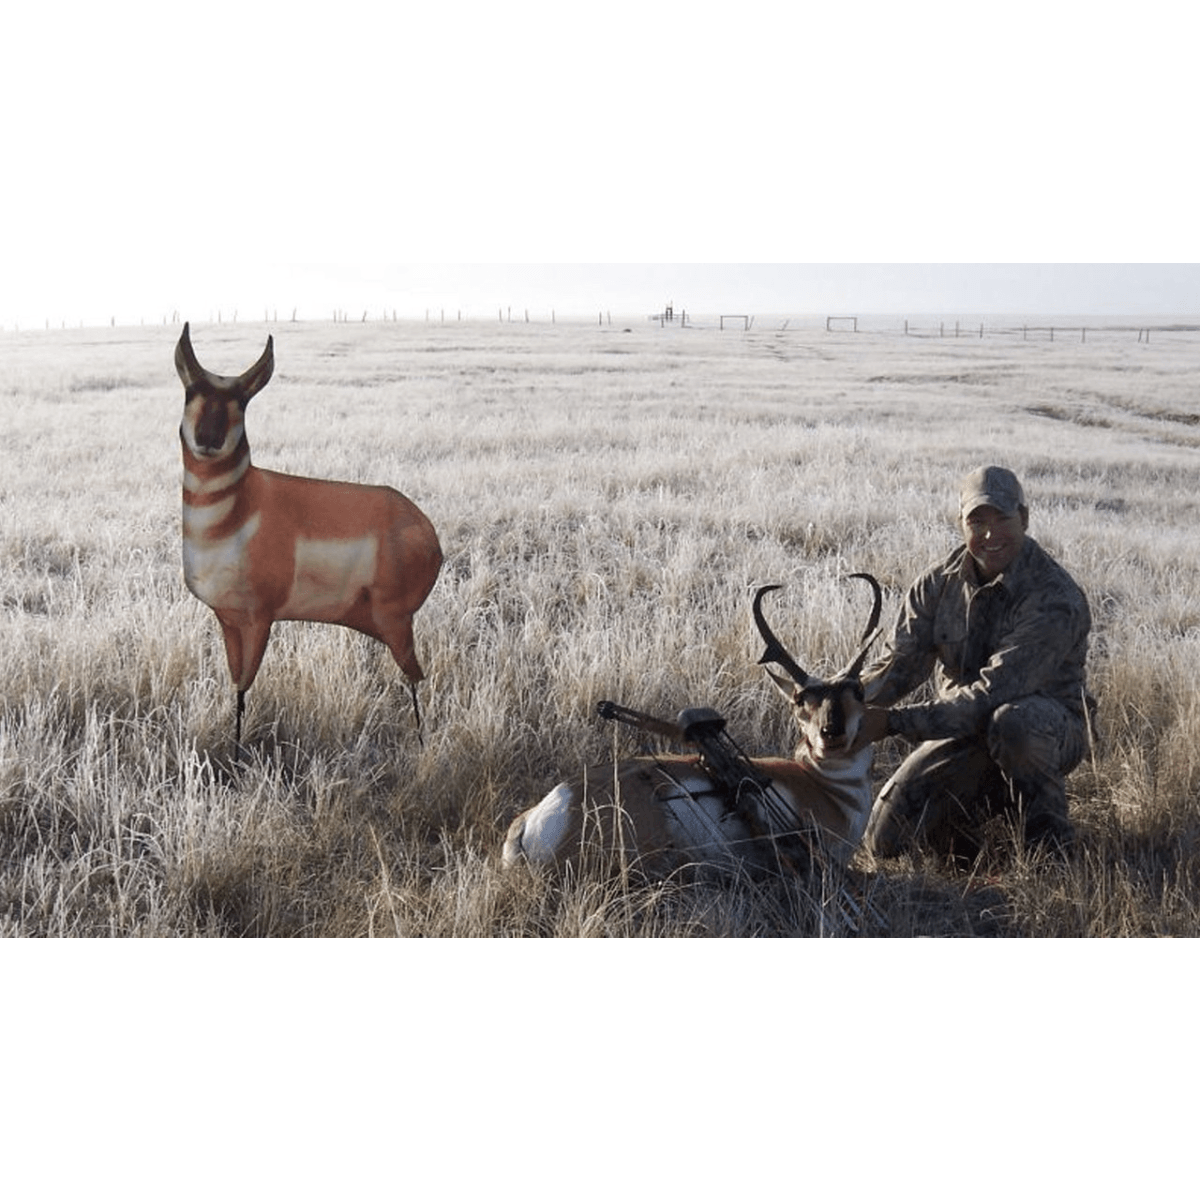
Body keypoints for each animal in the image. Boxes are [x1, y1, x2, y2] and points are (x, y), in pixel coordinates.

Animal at [175, 322, 442, 746]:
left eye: (241, 402)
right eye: (191, 392)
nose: (208, 439)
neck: (242, 508)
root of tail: (425, 527)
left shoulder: (259, 620)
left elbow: (244, 689)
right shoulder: (228, 621)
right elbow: (237, 689)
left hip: (394, 621)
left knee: (415, 676)